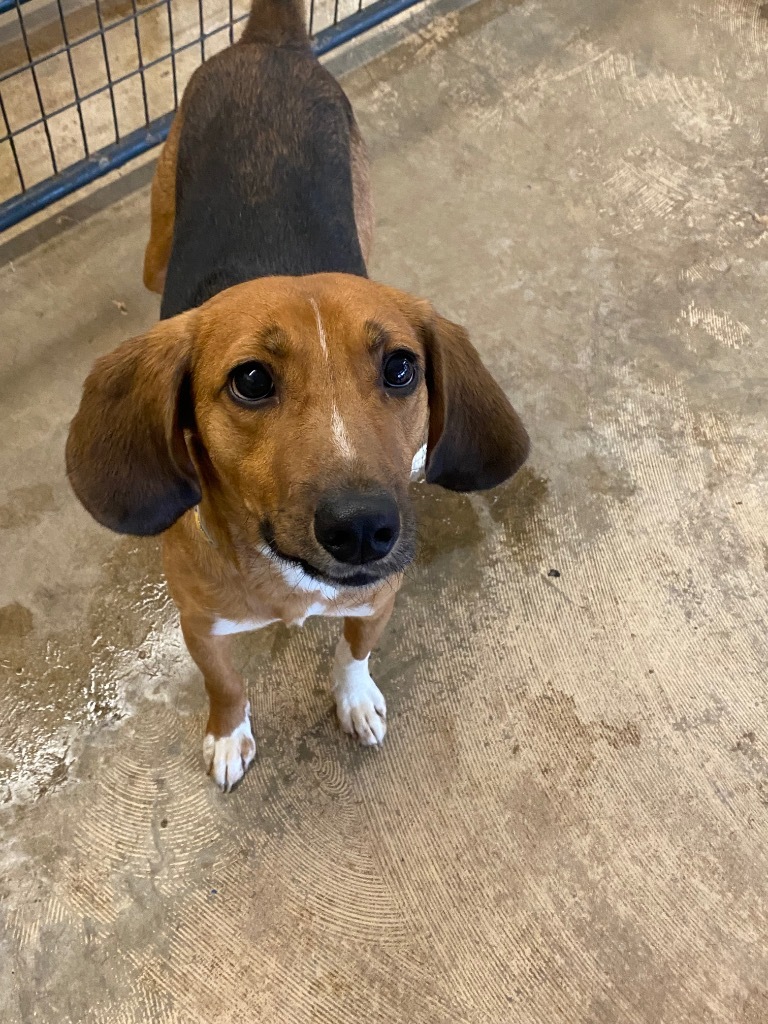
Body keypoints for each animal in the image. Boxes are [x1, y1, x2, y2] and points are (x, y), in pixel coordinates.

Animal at [66, 0, 528, 790]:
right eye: (251, 380)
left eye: (401, 368)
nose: (365, 529)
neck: (287, 573)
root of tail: (270, 43)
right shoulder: (201, 629)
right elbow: (227, 686)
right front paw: (229, 736)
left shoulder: (378, 596)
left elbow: (354, 651)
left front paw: (356, 697)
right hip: (157, 240)